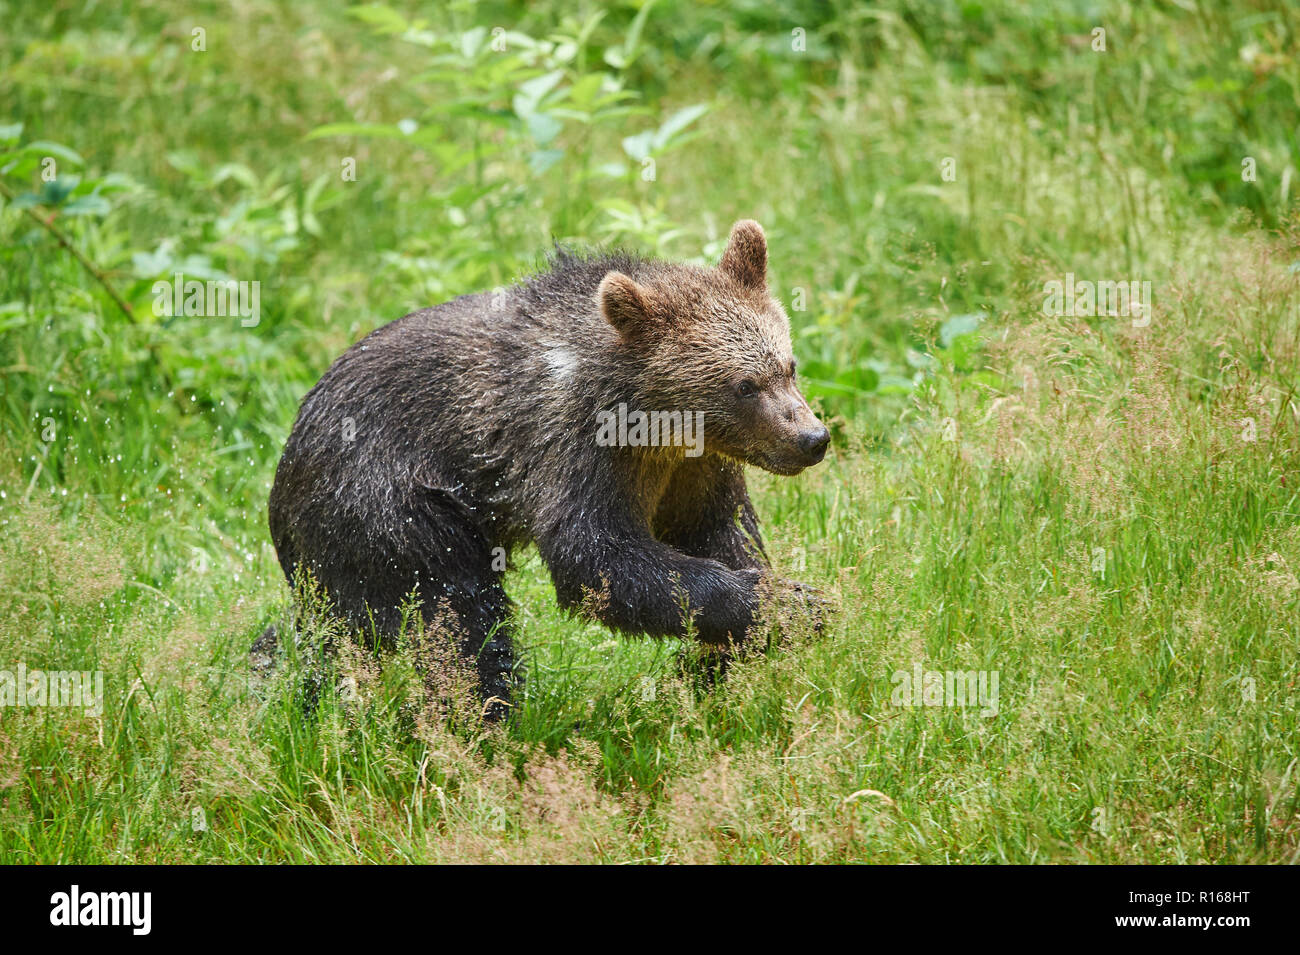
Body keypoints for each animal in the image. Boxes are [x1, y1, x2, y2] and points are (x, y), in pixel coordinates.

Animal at [265, 219, 830, 718]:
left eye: (789, 366)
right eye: (744, 387)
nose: (812, 439)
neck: (658, 426)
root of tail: (286, 465)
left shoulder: (694, 468)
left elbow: (717, 528)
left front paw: (731, 647)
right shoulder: (572, 443)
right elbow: (598, 556)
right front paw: (793, 604)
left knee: (327, 631)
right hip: (389, 506)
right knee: (458, 619)